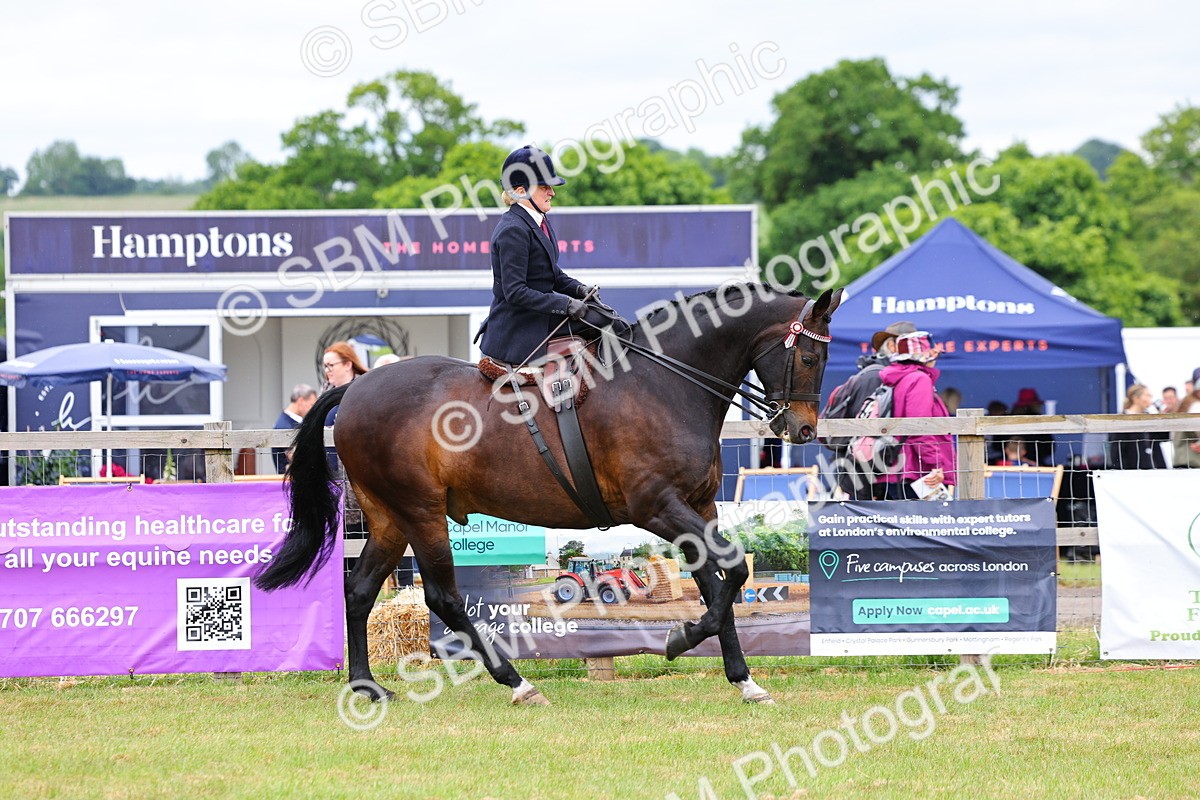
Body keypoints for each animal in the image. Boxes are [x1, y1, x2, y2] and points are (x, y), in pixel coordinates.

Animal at [255, 284, 843, 705]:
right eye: (810, 359)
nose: (802, 430)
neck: (664, 385)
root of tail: (355, 387)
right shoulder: (658, 507)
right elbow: (732, 572)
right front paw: (679, 640)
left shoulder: (697, 507)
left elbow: (717, 582)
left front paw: (743, 679)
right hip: (421, 513)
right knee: (441, 597)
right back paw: (516, 682)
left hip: (387, 518)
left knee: (358, 590)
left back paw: (367, 686)